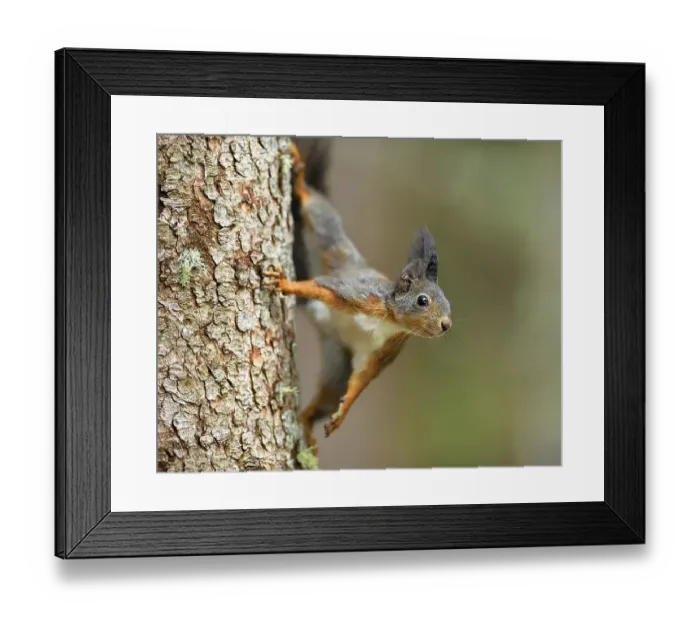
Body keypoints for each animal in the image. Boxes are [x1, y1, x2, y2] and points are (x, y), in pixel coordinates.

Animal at [263, 139, 452, 453]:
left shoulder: (382, 351)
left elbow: (361, 381)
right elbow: (319, 286)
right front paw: (286, 284)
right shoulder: (357, 294)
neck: (391, 320)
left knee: (324, 399)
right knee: (317, 210)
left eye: (450, 306)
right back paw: (300, 177)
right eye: (422, 300)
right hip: (335, 246)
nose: (446, 325)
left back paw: (308, 426)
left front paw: (342, 415)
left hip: (337, 366)